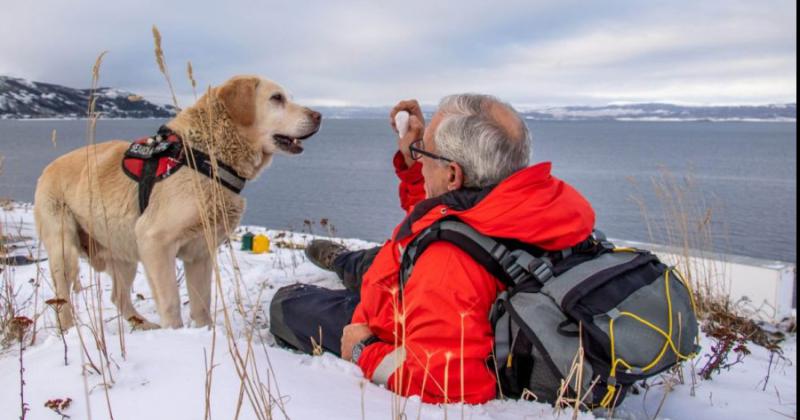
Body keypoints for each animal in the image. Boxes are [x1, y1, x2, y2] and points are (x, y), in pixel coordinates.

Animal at [34, 76, 322, 332]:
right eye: (277, 98)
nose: (319, 116)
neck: (206, 157)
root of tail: (46, 169)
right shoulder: (155, 242)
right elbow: (171, 303)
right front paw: (176, 336)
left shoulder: (200, 252)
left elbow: (202, 306)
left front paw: (204, 334)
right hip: (64, 248)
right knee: (63, 298)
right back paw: (69, 331)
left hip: (123, 253)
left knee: (118, 296)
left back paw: (143, 325)